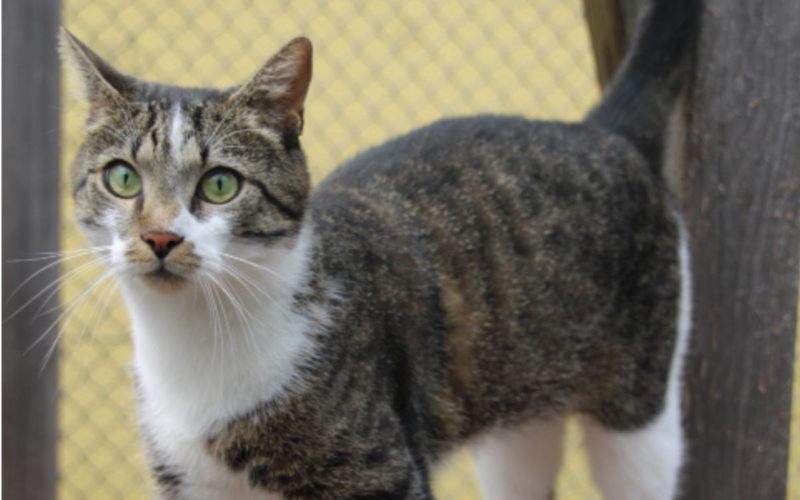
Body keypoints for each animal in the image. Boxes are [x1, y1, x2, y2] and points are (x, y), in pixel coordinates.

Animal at [61, 0, 700, 498]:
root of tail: (603, 130)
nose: (160, 237)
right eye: (122, 179)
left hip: (640, 412)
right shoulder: (192, 482)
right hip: (516, 416)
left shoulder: (378, 473)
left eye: (220, 184)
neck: (191, 344)